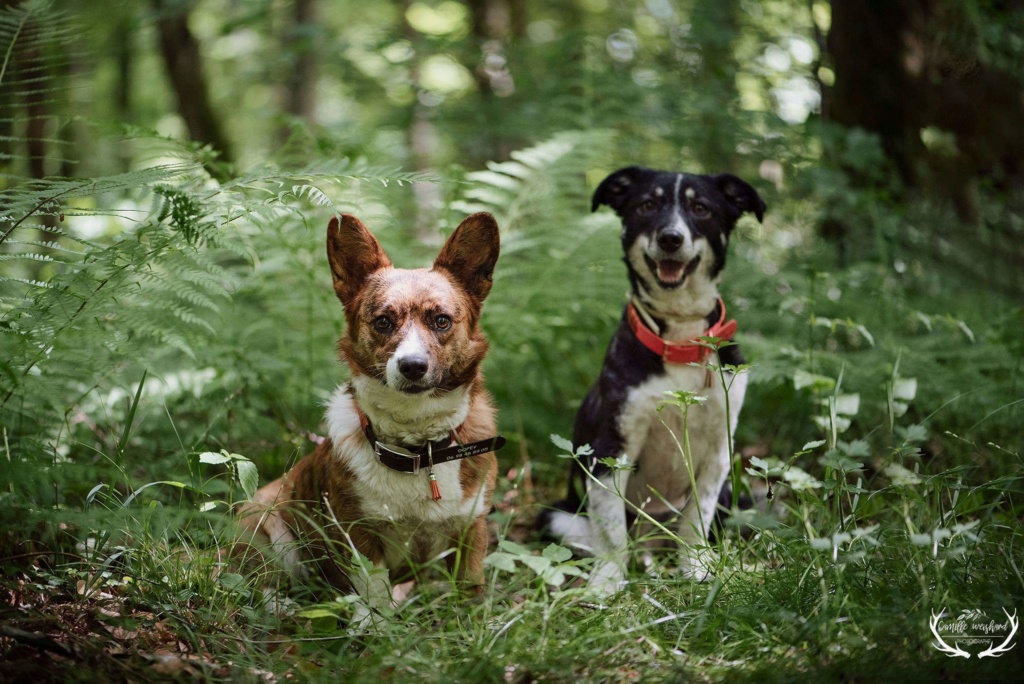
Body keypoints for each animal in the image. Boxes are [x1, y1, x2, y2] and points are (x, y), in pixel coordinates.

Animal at [236, 211, 499, 618]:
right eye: (382, 322)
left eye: (441, 320)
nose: (412, 367)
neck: (418, 447)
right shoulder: (358, 534)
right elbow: (374, 591)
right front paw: (374, 624)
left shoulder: (472, 527)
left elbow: (471, 589)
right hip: (265, 521)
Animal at [540, 163, 765, 593]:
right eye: (646, 205)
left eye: (701, 208)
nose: (671, 238)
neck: (678, 340)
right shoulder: (612, 445)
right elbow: (611, 530)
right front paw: (608, 581)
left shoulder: (719, 452)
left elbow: (696, 518)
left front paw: (696, 566)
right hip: (556, 517)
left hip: (733, 499)